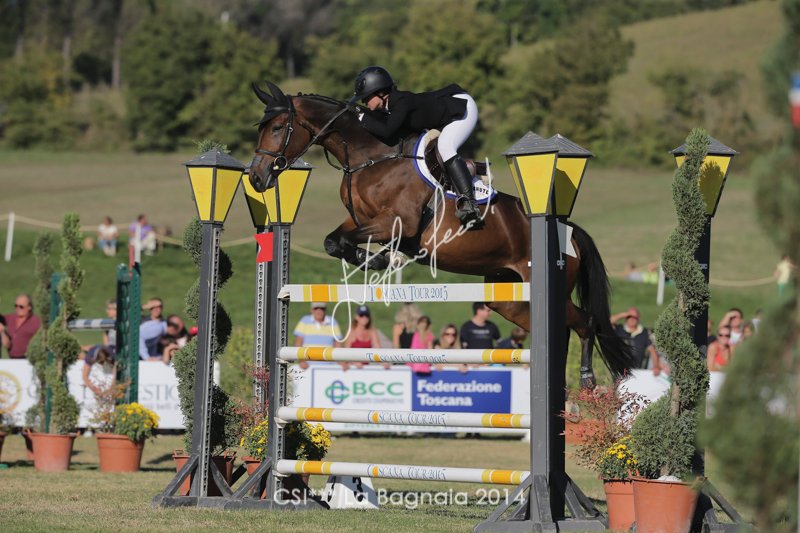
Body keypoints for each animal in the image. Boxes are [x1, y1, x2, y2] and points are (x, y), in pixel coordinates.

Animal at [249, 82, 634, 387]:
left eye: (279, 127)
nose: (256, 178)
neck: (369, 156)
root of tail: (566, 228)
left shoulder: (397, 222)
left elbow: (347, 240)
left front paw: (380, 259)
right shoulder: (362, 220)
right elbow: (333, 241)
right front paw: (374, 259)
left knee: (585, 322)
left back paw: (586, 378)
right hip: (508, 296)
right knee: (560, 326)